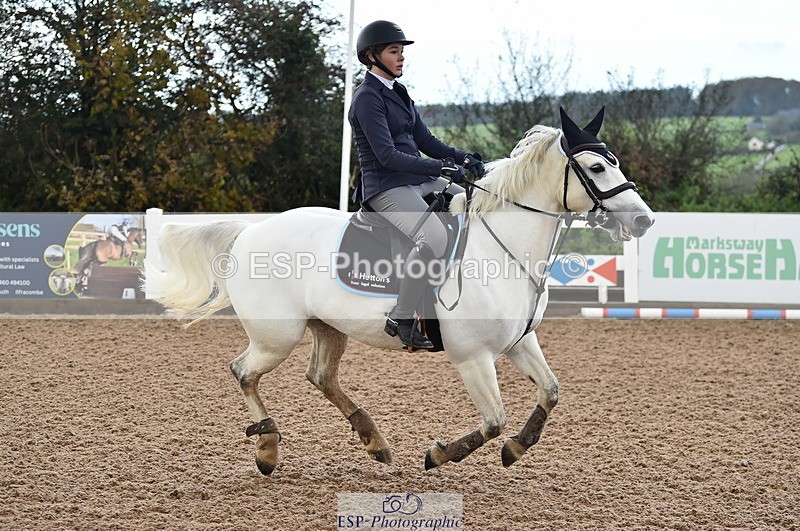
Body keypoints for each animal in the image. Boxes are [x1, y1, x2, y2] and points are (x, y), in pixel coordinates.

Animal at [145, 108, 655, 475]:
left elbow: (550, 393)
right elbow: (494, 420)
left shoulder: (519, 342)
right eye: (596, 166)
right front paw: (440, 454)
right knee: (243, 372)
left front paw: (515, 449)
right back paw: (268, 449)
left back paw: (374, 443)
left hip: (326, 327)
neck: (503, 247)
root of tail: (249, 232)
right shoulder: (472, 356)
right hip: (277, 337)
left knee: (320, 377)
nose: (643, 220)